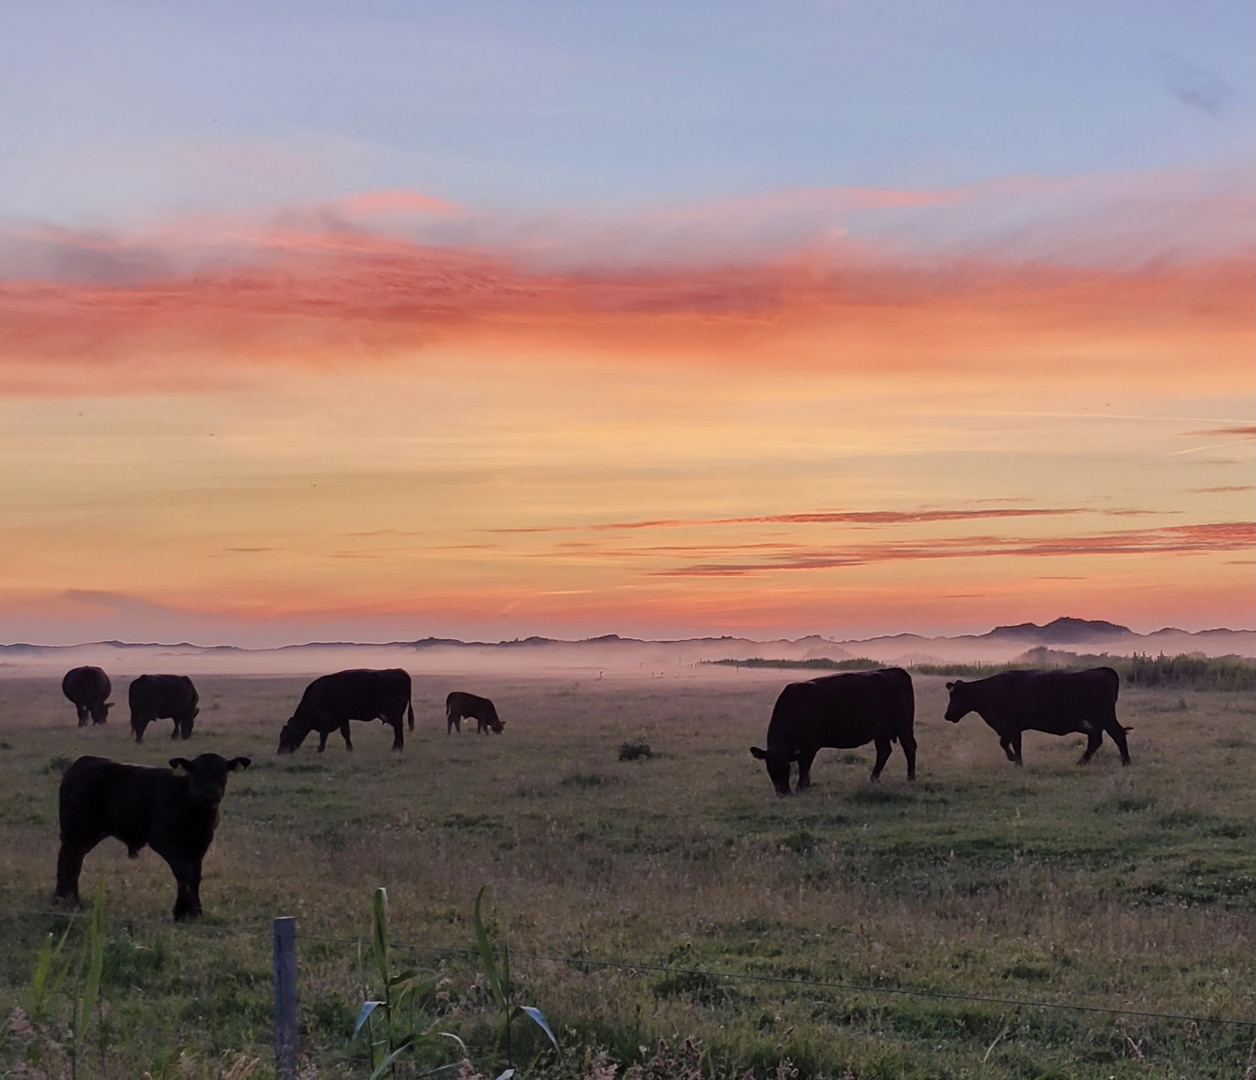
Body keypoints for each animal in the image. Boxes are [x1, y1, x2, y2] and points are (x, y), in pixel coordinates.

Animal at [54, 748, 249, 919]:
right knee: (69, 861)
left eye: (223, 775)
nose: (210, 797)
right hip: (76, 830)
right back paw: (69, 901)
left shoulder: (201, 843)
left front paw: (195, 911)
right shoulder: (163, 839)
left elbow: (196, 876)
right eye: (196, 774)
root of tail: (83, 761)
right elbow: (184, 872)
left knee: (72, 859)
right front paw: (183, 911)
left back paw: (65, 899)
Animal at [277, 668, 414, 748]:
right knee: (397, 728)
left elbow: (329, 735)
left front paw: (321, 750)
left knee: (398, 728)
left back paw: (396, 748)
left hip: (395, 714)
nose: (281, 752)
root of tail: (400, 671)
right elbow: (343, 734)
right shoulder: (342, 718)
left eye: (284, 736)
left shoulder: (334, 718)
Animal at [748, 668, 919, 793]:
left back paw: (910, 777)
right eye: (769, 769)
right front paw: (806, 785)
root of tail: (895, 670)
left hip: (904, 726)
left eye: (787, 767)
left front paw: (801, 787)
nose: (782, 792)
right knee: (884, 751)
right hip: (881, 732)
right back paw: (873, 778)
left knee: (909, 747)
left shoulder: (810, 745)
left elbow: (804, 765)